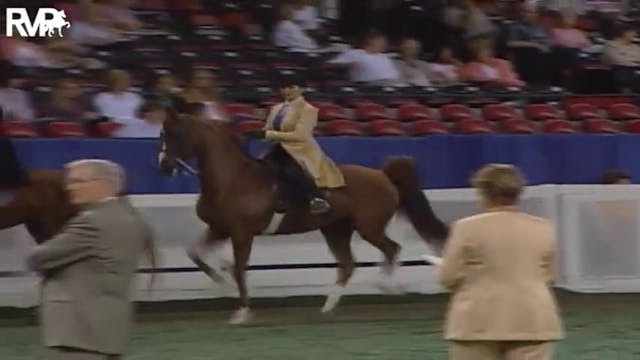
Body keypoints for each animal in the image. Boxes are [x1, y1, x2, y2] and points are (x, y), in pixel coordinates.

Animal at [159, 110, 450, 324]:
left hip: (369, 227)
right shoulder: (219, 229)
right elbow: (196, 254)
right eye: (162, 133)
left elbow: (239, 269)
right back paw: (328, 307)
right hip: (336, 230)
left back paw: (387, 286)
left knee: (392, 248)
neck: (232, 179)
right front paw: (222, 283)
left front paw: (242, 312)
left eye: (176, 134)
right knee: (348, 264)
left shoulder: (242, 233)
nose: (164, 167)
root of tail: (383, 174)